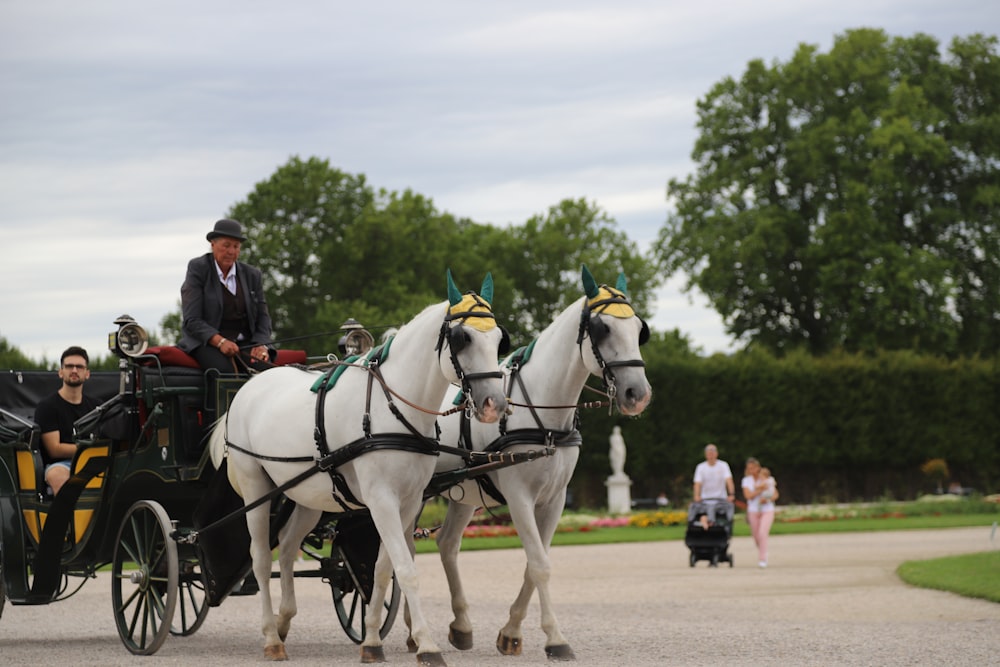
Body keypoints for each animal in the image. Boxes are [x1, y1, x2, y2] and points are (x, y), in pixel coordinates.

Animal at [209, 272, 508, 667]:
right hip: (256, 488)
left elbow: (383, 568)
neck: (392, 407)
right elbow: (406, 570)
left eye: (499, 338)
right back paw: (272, 638)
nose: (494, 405)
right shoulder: (381, 500)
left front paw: (372, 642)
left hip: (307, 495)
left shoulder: (409, 501)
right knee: (259, 559)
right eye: (463, 338)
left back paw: (284, 620)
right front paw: (427, 644)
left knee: (286, 548)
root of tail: (249, 385)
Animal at [426, 266, 652, 664]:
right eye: (603, 329)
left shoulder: (555, 499)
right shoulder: (520, 497)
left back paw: (461, 626)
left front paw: (511, 633)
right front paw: (555, 639)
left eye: (640, 330)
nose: (637, 394)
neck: (545, 414)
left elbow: (536, 564)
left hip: (464, 495)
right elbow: (540, 565)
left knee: (447, 543)